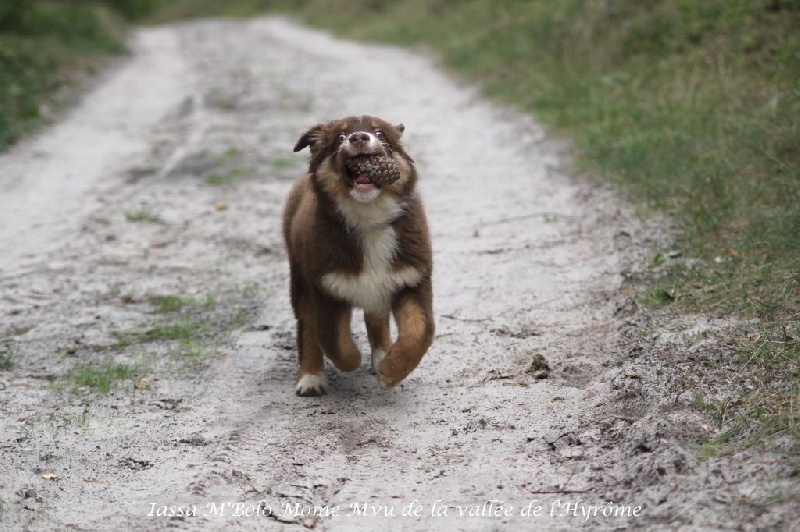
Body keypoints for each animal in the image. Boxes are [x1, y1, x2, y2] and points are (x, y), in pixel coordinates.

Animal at [284, 117, 434, 400]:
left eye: (380, 133)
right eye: (340, 137)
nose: (359, 138)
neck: (369, 221)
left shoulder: (412, 279)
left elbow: (420, 332)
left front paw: (391, 370)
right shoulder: (326, 286)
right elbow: (333, 338)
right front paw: (353, 361)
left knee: (376, 319)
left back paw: (382, 355)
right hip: (300, 277)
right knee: (307, 326)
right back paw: (310, 378)